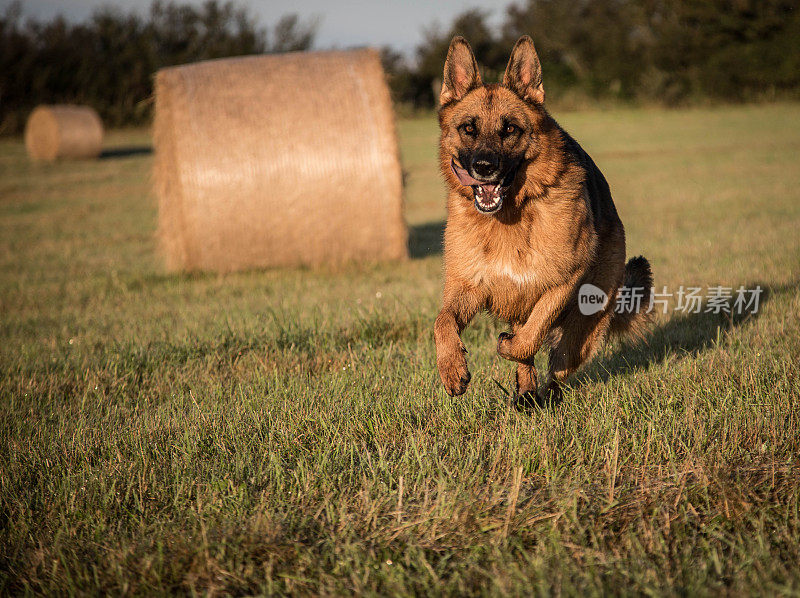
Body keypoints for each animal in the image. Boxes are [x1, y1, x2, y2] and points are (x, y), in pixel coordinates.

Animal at [434, 35, 652, 406]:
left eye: (510, 129)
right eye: (468, 129)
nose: (484, 167)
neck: (510, 213)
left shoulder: (561, 283)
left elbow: (528, 340)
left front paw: (506, 347)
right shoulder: (468, 287)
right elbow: (442, 322)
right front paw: (452, 369)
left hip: (583, 324)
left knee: (559, 362)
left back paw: (545, 395)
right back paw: (525, 395)